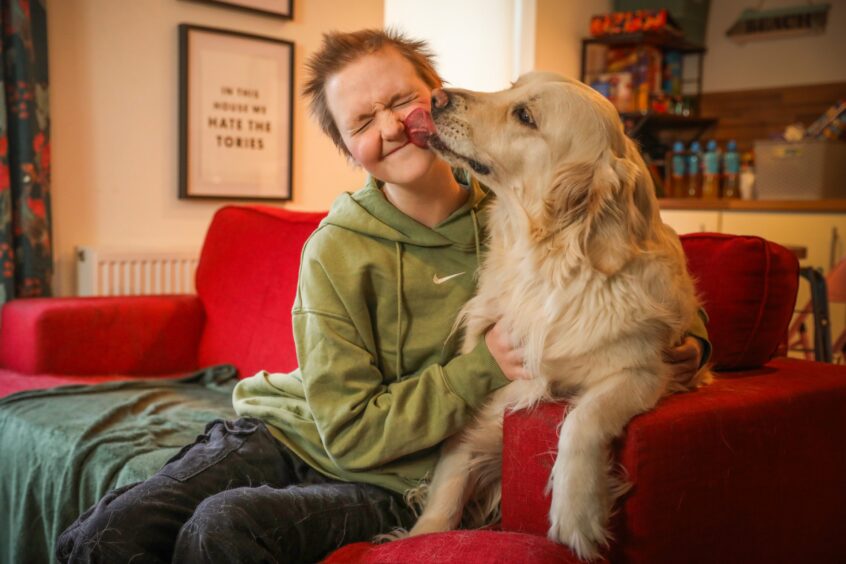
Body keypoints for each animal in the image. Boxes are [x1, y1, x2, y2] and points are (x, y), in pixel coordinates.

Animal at [408, 74, 712, 560]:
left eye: (525, 116)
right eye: (511, 87)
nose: (436, 96)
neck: (546, 264)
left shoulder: (643, 370)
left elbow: (581, 418)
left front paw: (577, 512)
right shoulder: (489, 412)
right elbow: (442, 498)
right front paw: (421, 536)